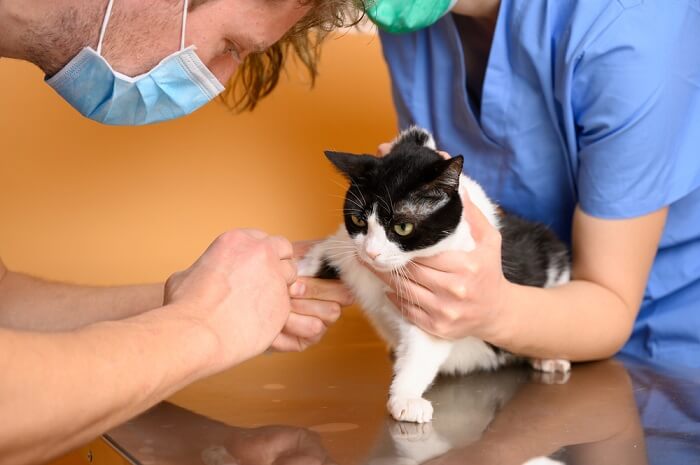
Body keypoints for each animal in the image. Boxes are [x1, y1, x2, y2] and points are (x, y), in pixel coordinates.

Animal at [298, 125, 572, 422]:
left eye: (403, 227)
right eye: (359, 220)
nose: (372, 253)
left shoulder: (441, 307)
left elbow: (423, 349)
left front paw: (405, 397)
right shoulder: (351, 250)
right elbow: (331, 251)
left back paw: (548, 357)